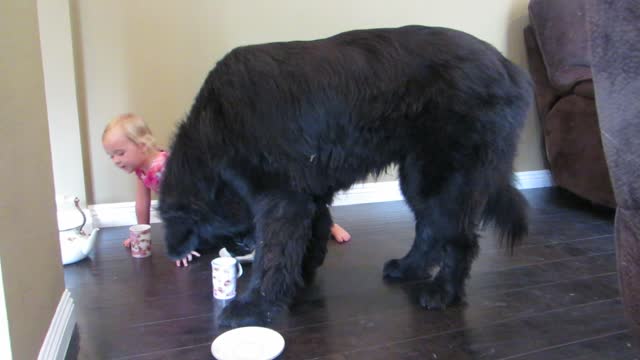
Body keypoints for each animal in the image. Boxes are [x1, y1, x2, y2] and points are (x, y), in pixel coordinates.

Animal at [161, 23, 536, 324]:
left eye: (239, 240)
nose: (243, 246)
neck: (214, 130)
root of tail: (512, 70)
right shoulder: (308, 196)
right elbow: (310, 238)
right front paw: (300, 279)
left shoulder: (280, 199)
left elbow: (273, 255)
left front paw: (253, 307)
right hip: (417, 176)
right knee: (429, 230)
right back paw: (408, 268)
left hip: (443, 180)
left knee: (459, 240)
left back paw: (442, 292)